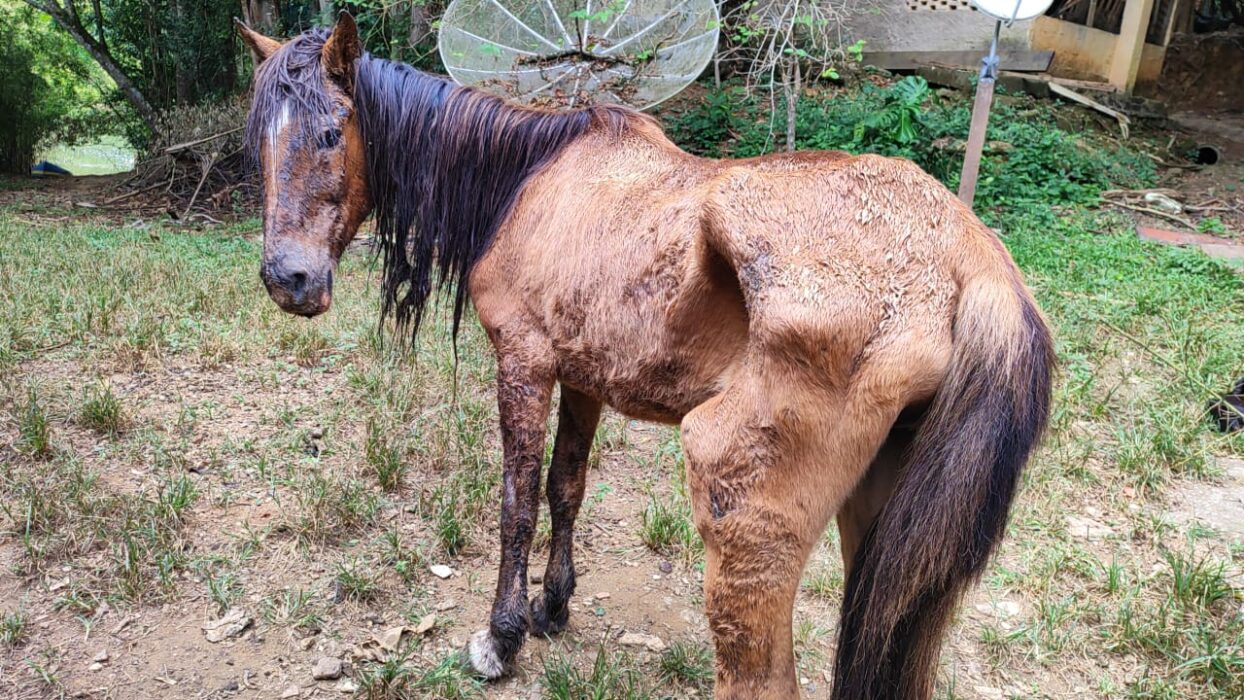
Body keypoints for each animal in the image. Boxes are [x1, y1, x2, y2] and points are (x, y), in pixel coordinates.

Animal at [237, 14, 1053, 699]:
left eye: (331, 132)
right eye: (260, 143)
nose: (288, 280)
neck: (529, 180)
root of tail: (970, 254)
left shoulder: (525, 365)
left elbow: (516, 505)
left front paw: (503, 638)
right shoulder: (584, 379)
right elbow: (565, 488)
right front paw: (552, 606)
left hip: (742, 522)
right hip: (879, 533)